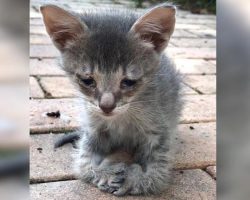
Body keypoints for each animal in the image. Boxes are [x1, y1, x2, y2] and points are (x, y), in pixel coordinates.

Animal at [41, 3, 182, 196]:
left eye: (129, 82)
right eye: (87, 80)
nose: (106, 106)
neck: (121, 120)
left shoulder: (159, 130)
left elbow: (155, 176)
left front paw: (134, 178)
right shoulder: (93, 128)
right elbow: (84, 164)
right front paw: (105, 172)